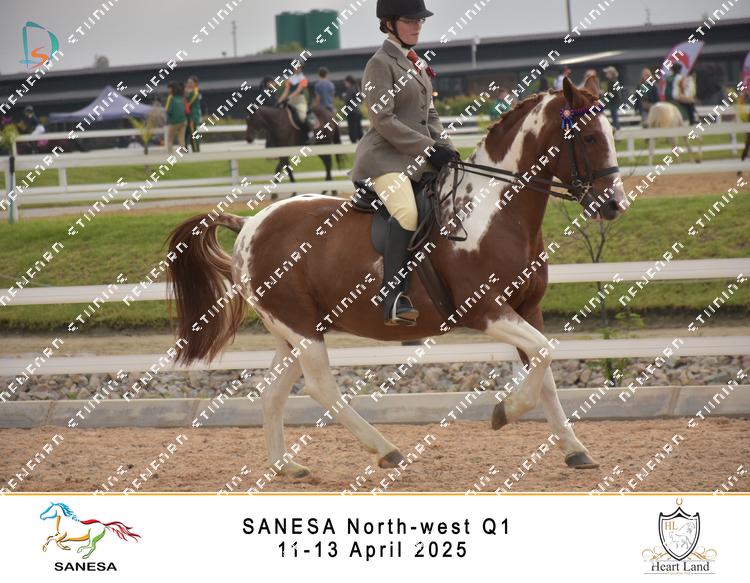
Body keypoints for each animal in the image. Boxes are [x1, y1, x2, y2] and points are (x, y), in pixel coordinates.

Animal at [167, 75, 627, 479]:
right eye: (589, 137)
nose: (614, 205)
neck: (493, 210)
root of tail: (249, 223)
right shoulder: (486, 310)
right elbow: (544, 358)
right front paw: (503, 413)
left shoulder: (528, 309)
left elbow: (546, 371)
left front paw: (575, 450)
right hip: (302, 330)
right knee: (321, 388)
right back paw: (386, 450)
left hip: (293, 331)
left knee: (273, 394)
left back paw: (287, 466)